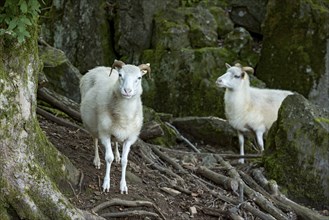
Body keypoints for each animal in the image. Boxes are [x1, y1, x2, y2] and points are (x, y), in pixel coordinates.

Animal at [79, 59, 150, 193]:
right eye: (120, 75)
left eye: (139, 78)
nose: (127, 91)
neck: (124, 115)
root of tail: (99, 67)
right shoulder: (105, 133)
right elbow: (108, 158)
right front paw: (106, 184)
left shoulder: (130, 138)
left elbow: (125, 161)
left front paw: (123, 186)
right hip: (93, 124)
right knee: (95, 139)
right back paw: (97, 160)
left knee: (116, 141)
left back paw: (117, 155)